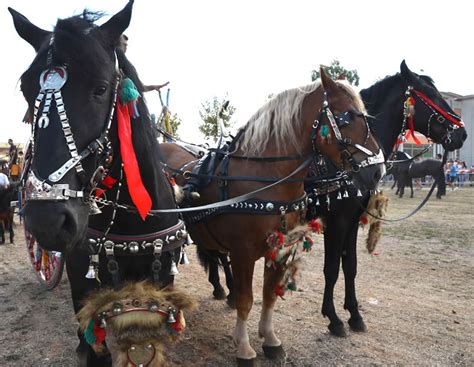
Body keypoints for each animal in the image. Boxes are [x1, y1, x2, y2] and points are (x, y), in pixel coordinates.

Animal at [161, 69, 384, 366]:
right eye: (347, 116)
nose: (378, 171)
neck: (264, 180)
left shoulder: (280, 247)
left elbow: (269, 296)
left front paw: (270, 339)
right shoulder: (243, 252)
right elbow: (247, 299)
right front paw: (244, 348)